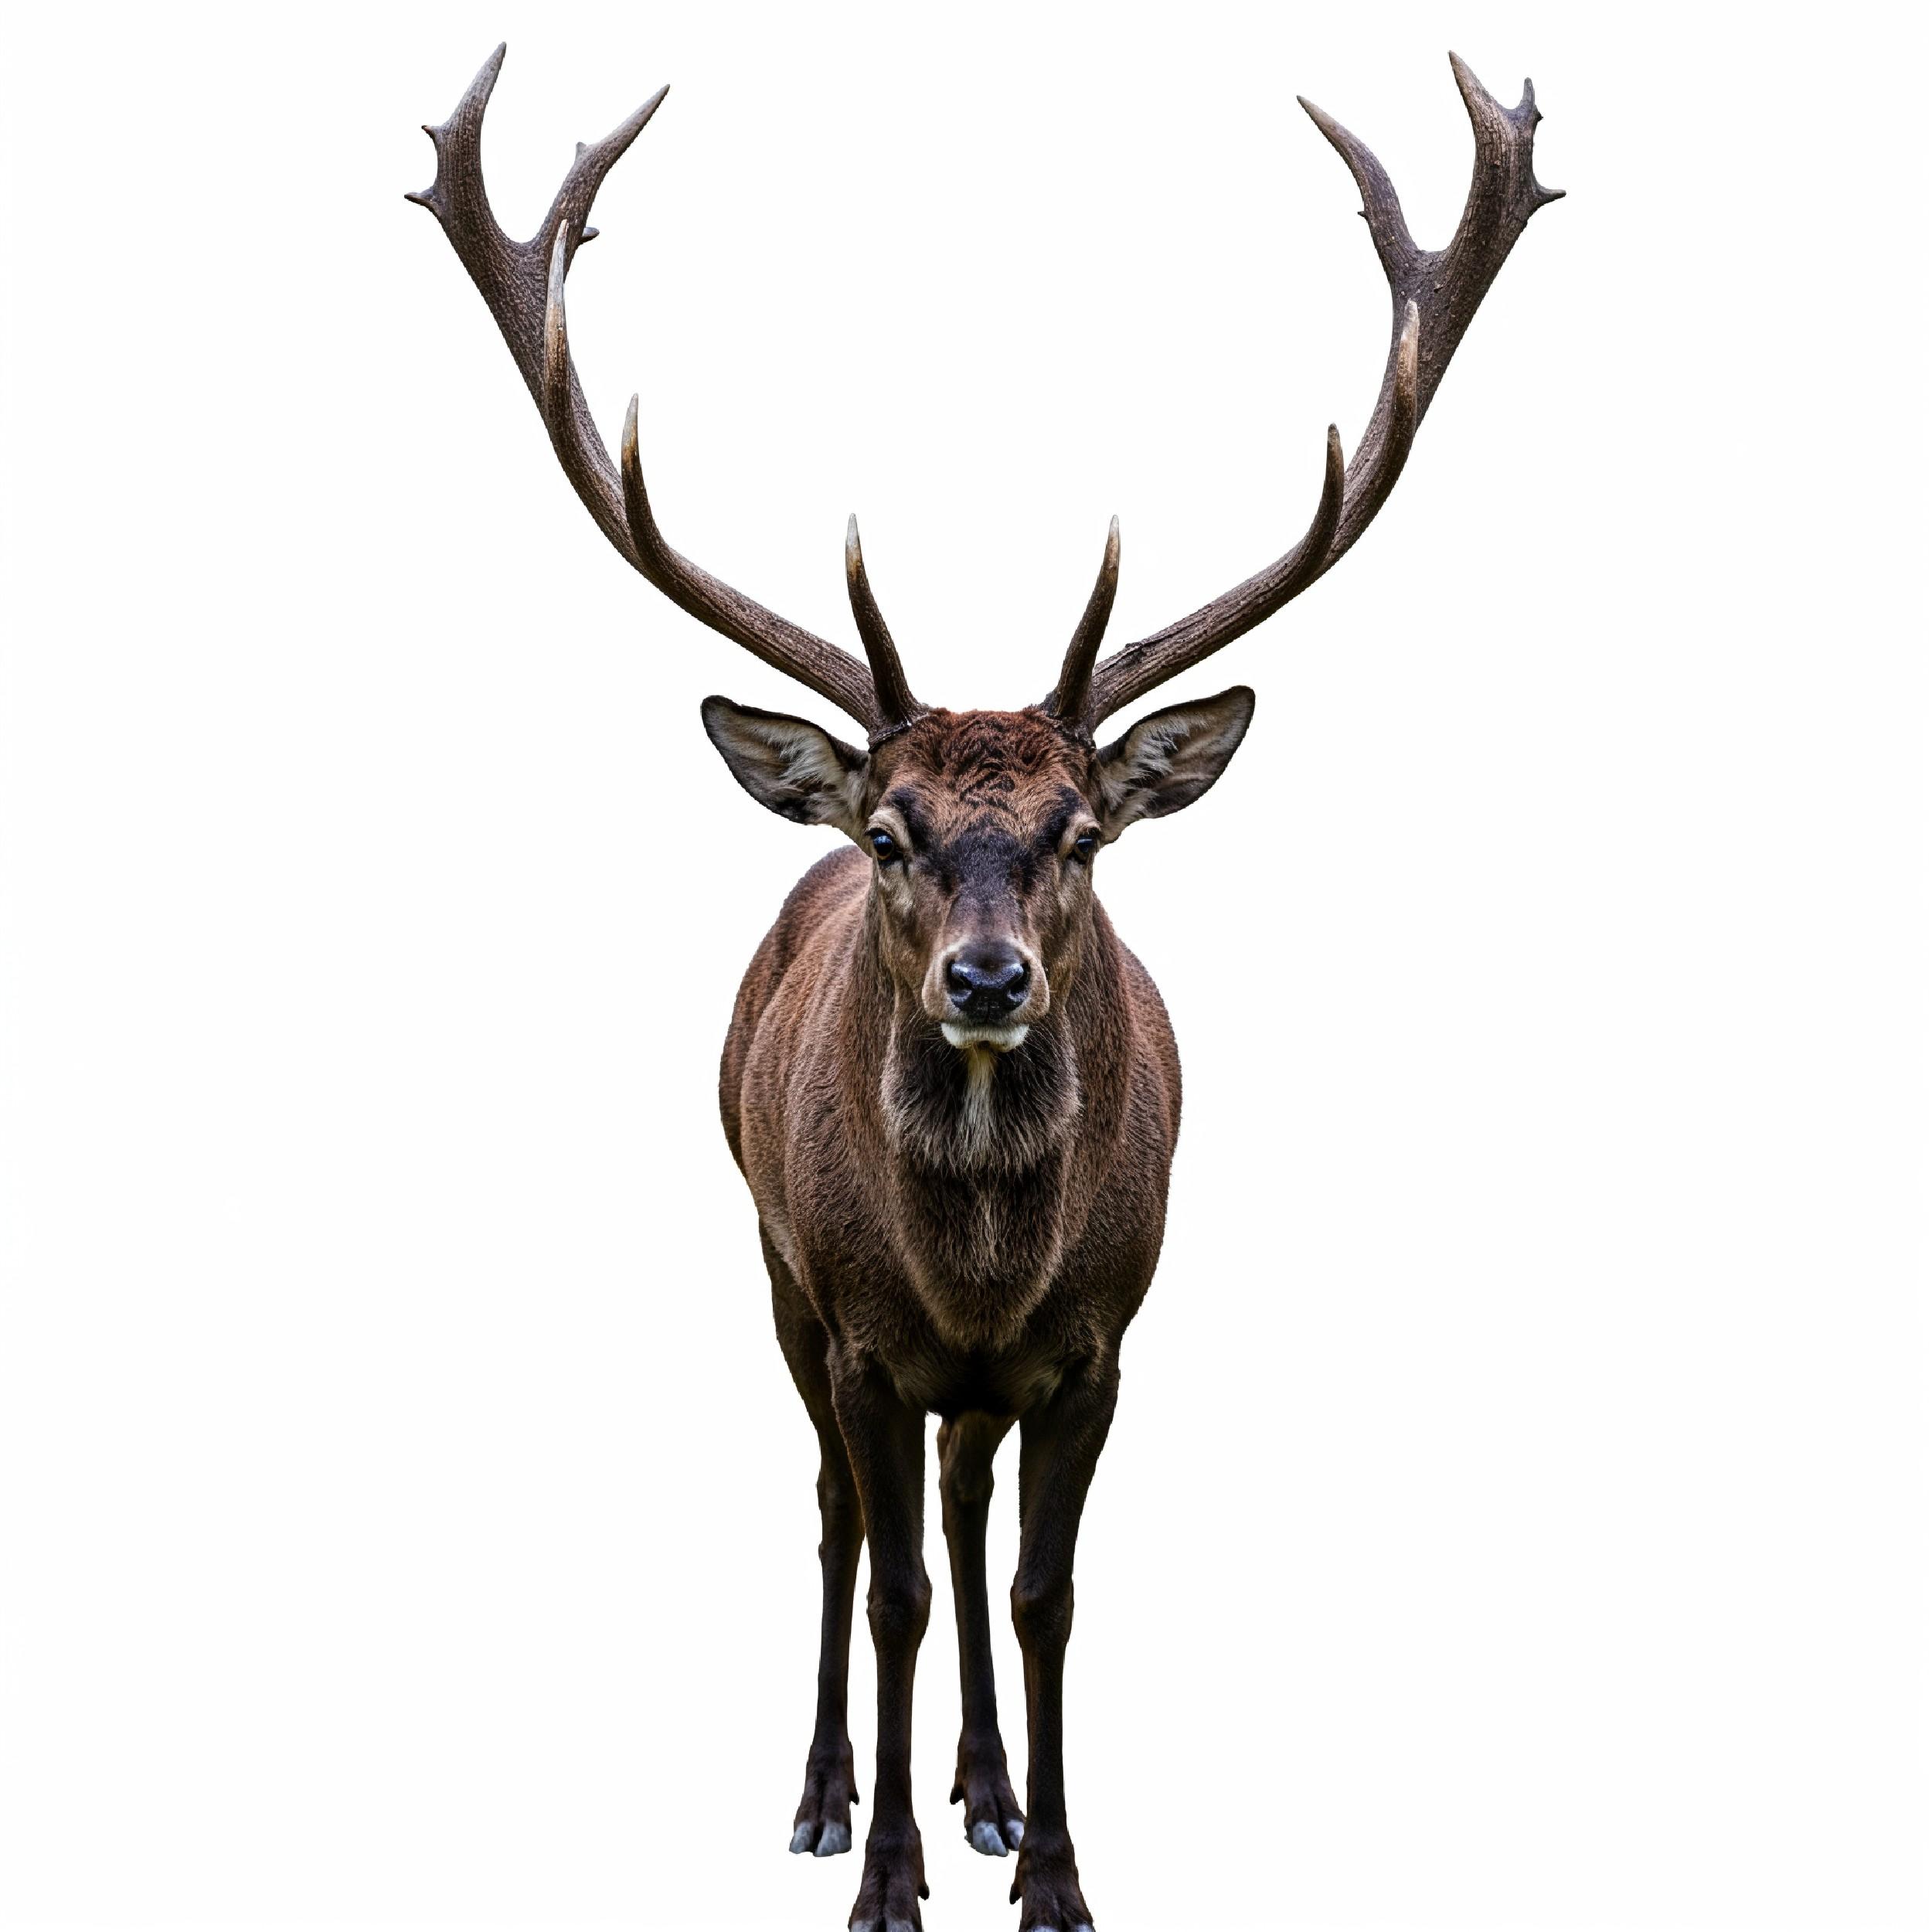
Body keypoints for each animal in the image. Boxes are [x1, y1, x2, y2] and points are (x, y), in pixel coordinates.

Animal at [409, 43, 1559, 1932]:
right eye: (891, 827)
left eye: (1081, 828)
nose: (987, 972)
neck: (978, 1270)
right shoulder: (863, 1327)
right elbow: (886, 1584)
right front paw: (881, 1876)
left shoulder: (1101, 1340)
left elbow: (1040, 1594)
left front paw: (1059, 1873)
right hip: (774, 1268)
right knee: (843, 1517)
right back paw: (827, 1794)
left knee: (957, 1509)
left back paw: (989, 1791)